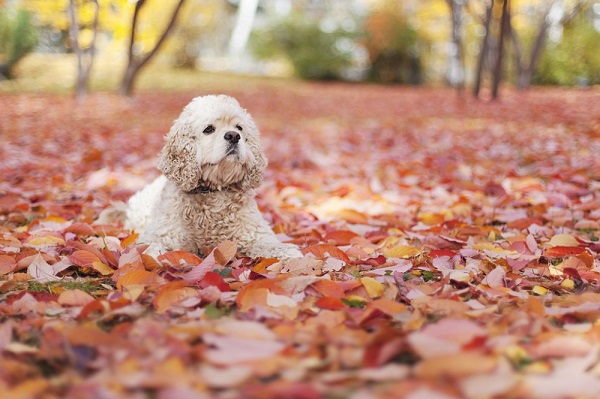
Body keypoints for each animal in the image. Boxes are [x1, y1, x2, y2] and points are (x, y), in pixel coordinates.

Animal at [102, 95, 304, 260]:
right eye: (208, 129)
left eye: (239, 127)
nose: (234, 136)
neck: (212, 193)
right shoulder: (160, 234)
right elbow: (148, 249)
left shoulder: (255, 233)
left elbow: (273, 245)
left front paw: (290, 253)